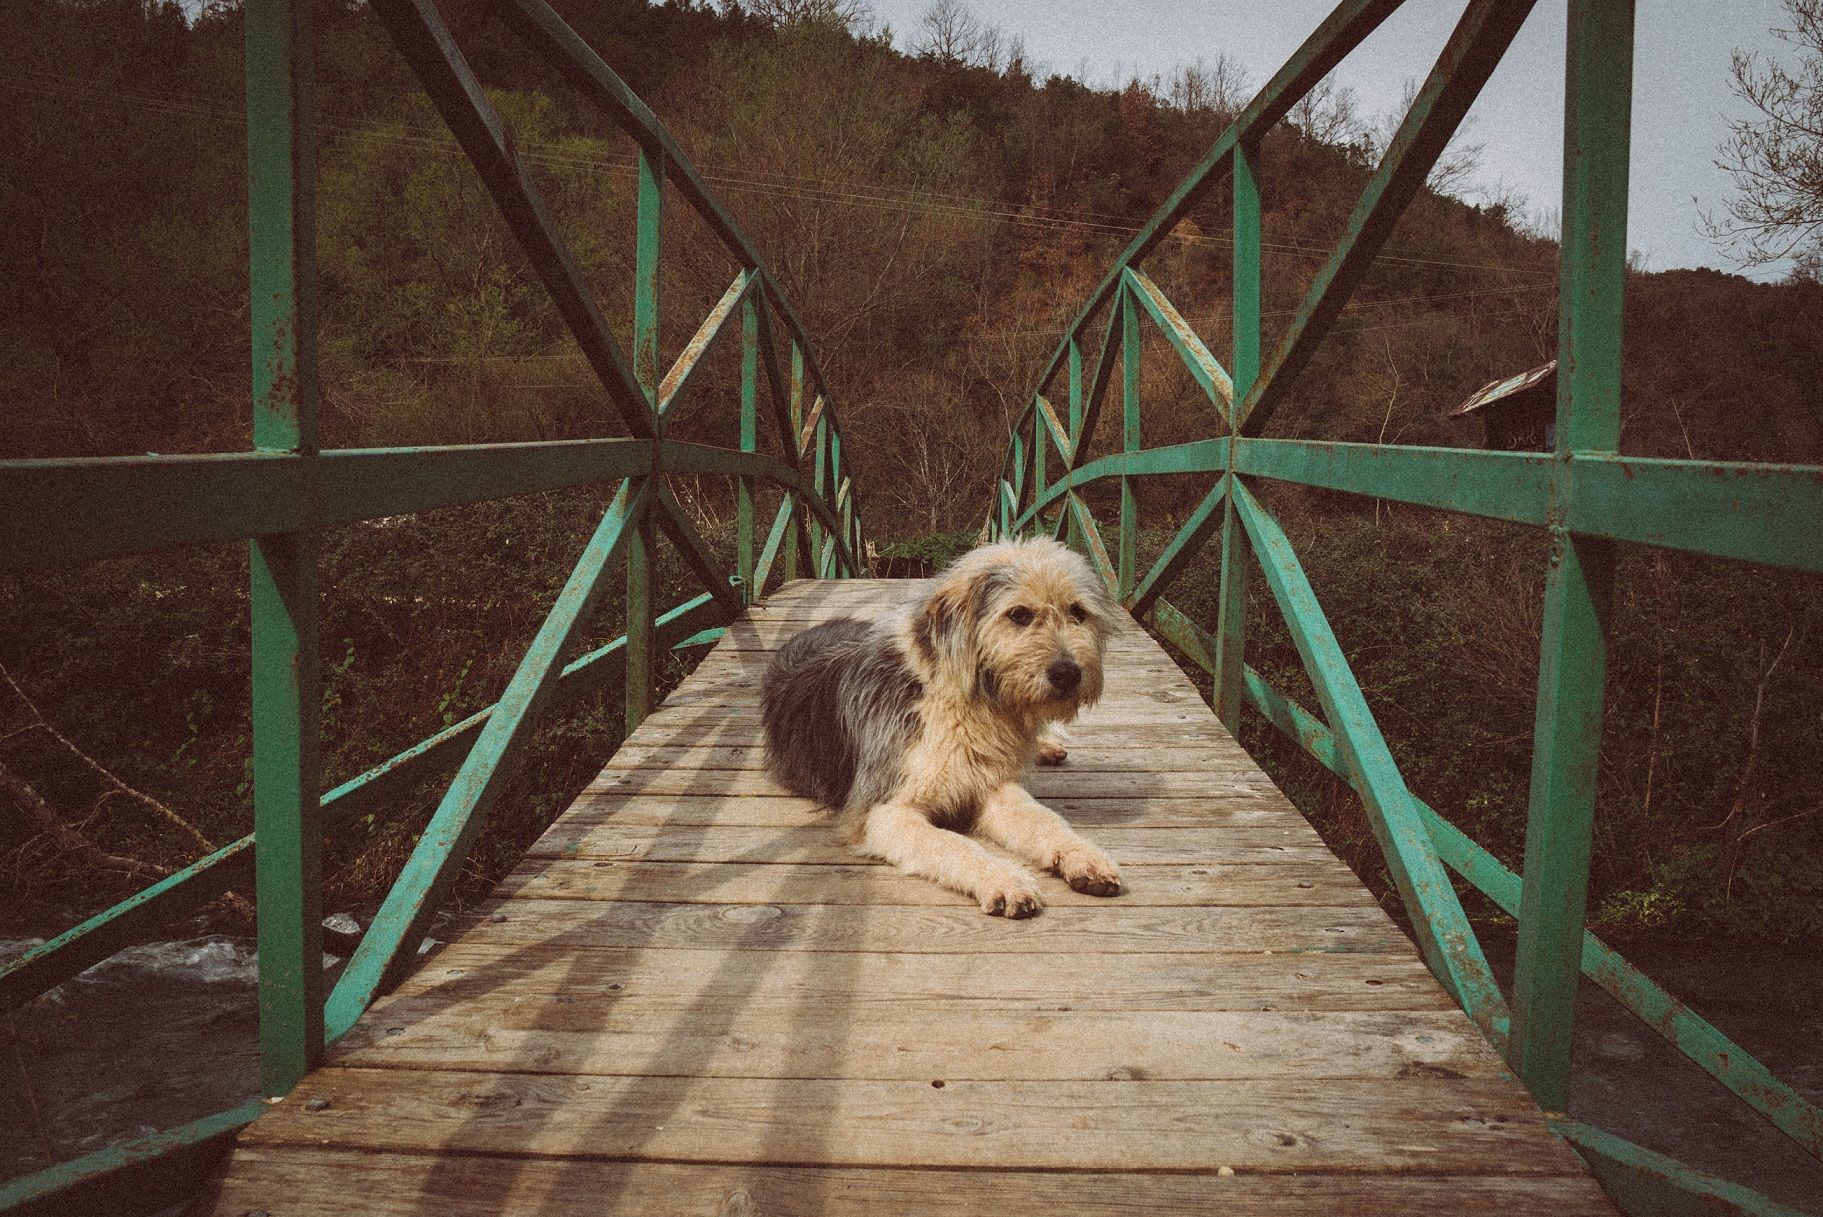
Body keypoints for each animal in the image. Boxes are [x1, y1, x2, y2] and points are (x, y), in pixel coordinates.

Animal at [758, 535, 1122, 918]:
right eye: (1019, 614)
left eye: (1078, 612)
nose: (1068, 674)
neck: (964, 699)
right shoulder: (885, 810)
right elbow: (954, 844)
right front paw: (1004, 879)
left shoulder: (992, 785)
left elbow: (1044, 820)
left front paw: (1084, 856)